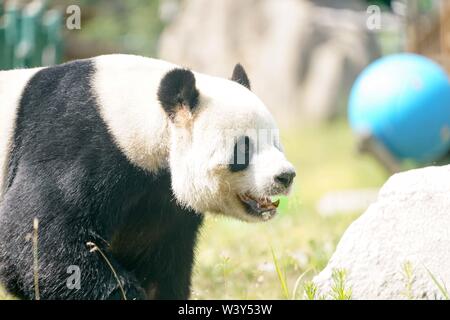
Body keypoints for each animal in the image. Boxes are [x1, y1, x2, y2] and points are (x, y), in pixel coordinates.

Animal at [0, 54, 298, 300]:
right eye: (243, 148)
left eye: (275, 142)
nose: (285, 176)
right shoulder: (75, 144)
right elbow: (37, 240)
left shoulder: (161, 203)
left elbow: (159, 264)